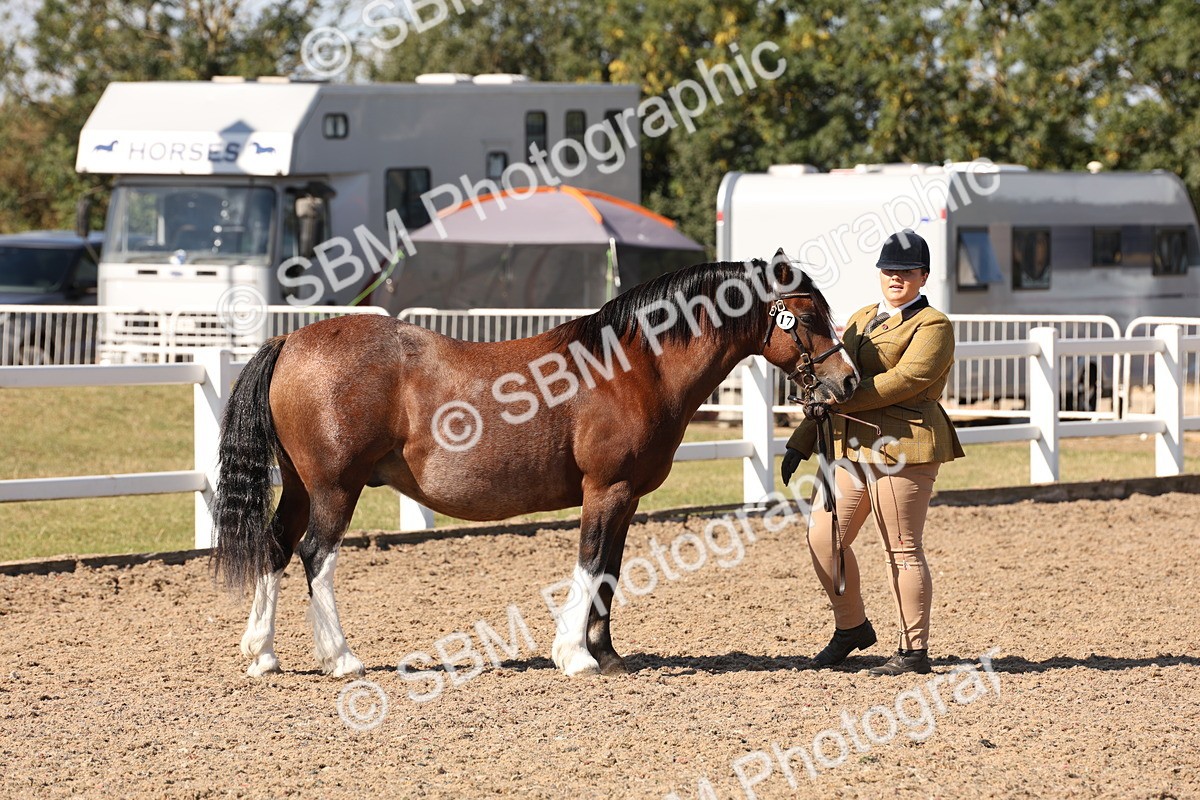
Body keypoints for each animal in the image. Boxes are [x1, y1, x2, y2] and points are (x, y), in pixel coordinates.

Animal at [212, 251, 859, 678]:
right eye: (806, 317)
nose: (848, 380)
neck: (634, 366)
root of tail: (291, 343)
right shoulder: (605, 489)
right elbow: (590, 564)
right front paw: (574, 655)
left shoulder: (626, 497)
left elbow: (610, 572)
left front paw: (606, 654)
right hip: (334, 488)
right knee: (314, 556)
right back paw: (342, 659)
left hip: (301, 487)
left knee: (275, 547)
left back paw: (262, 654)